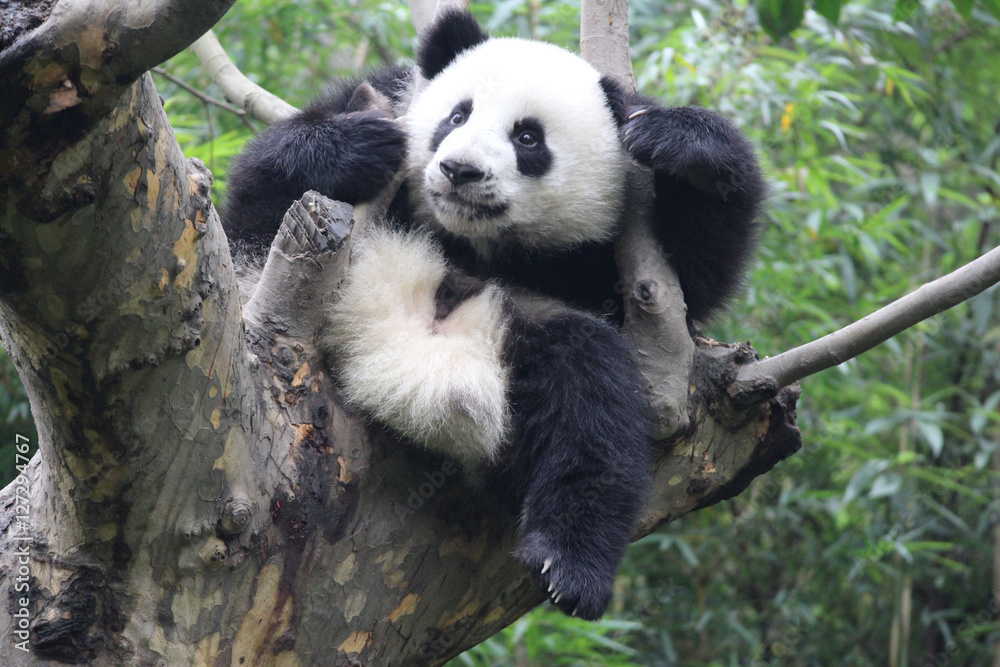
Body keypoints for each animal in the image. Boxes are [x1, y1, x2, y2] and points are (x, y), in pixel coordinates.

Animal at [223, 11, 765, 620]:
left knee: (591, 398)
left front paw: (685, 145)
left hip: (525, 331)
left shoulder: (612, 249)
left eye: (528, 138)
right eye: (457, 115)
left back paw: (570, 565)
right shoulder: (384, 95)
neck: (472, 245)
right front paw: (356, 147)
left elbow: (694, 279)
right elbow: (260, 183)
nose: (460, 170)